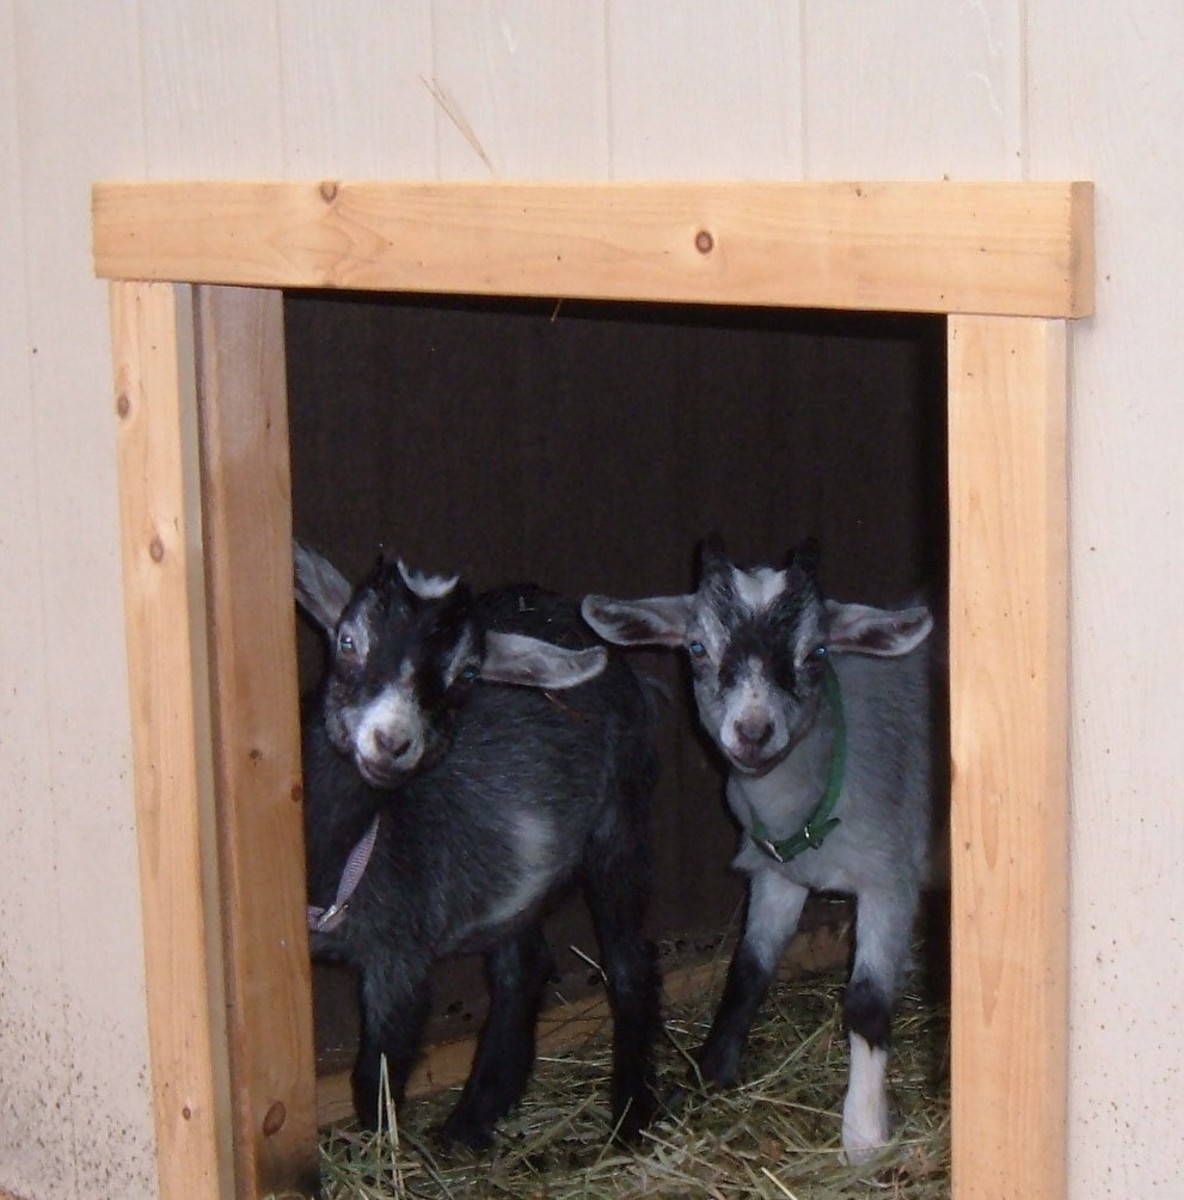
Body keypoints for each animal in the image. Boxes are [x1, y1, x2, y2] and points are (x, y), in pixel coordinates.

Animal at [294, 541, 662, 1149]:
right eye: (348, 639)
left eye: (466, 674)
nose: (391, 741)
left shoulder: (399, 955)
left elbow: (376, 1074)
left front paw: (382, 1151)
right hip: (517, 867)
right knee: (521, 966)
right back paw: (476, 1113)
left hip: (622, 814)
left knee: (630, 960)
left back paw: (631, 1115)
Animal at [581, 536, 940, 1163]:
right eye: (696, 646)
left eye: (817, 651)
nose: (753, 731)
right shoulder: (777, 877)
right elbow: (747, 970)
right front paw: (709, 1075)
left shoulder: (888, 877)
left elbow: (867, 1001)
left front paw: (863, 1135)